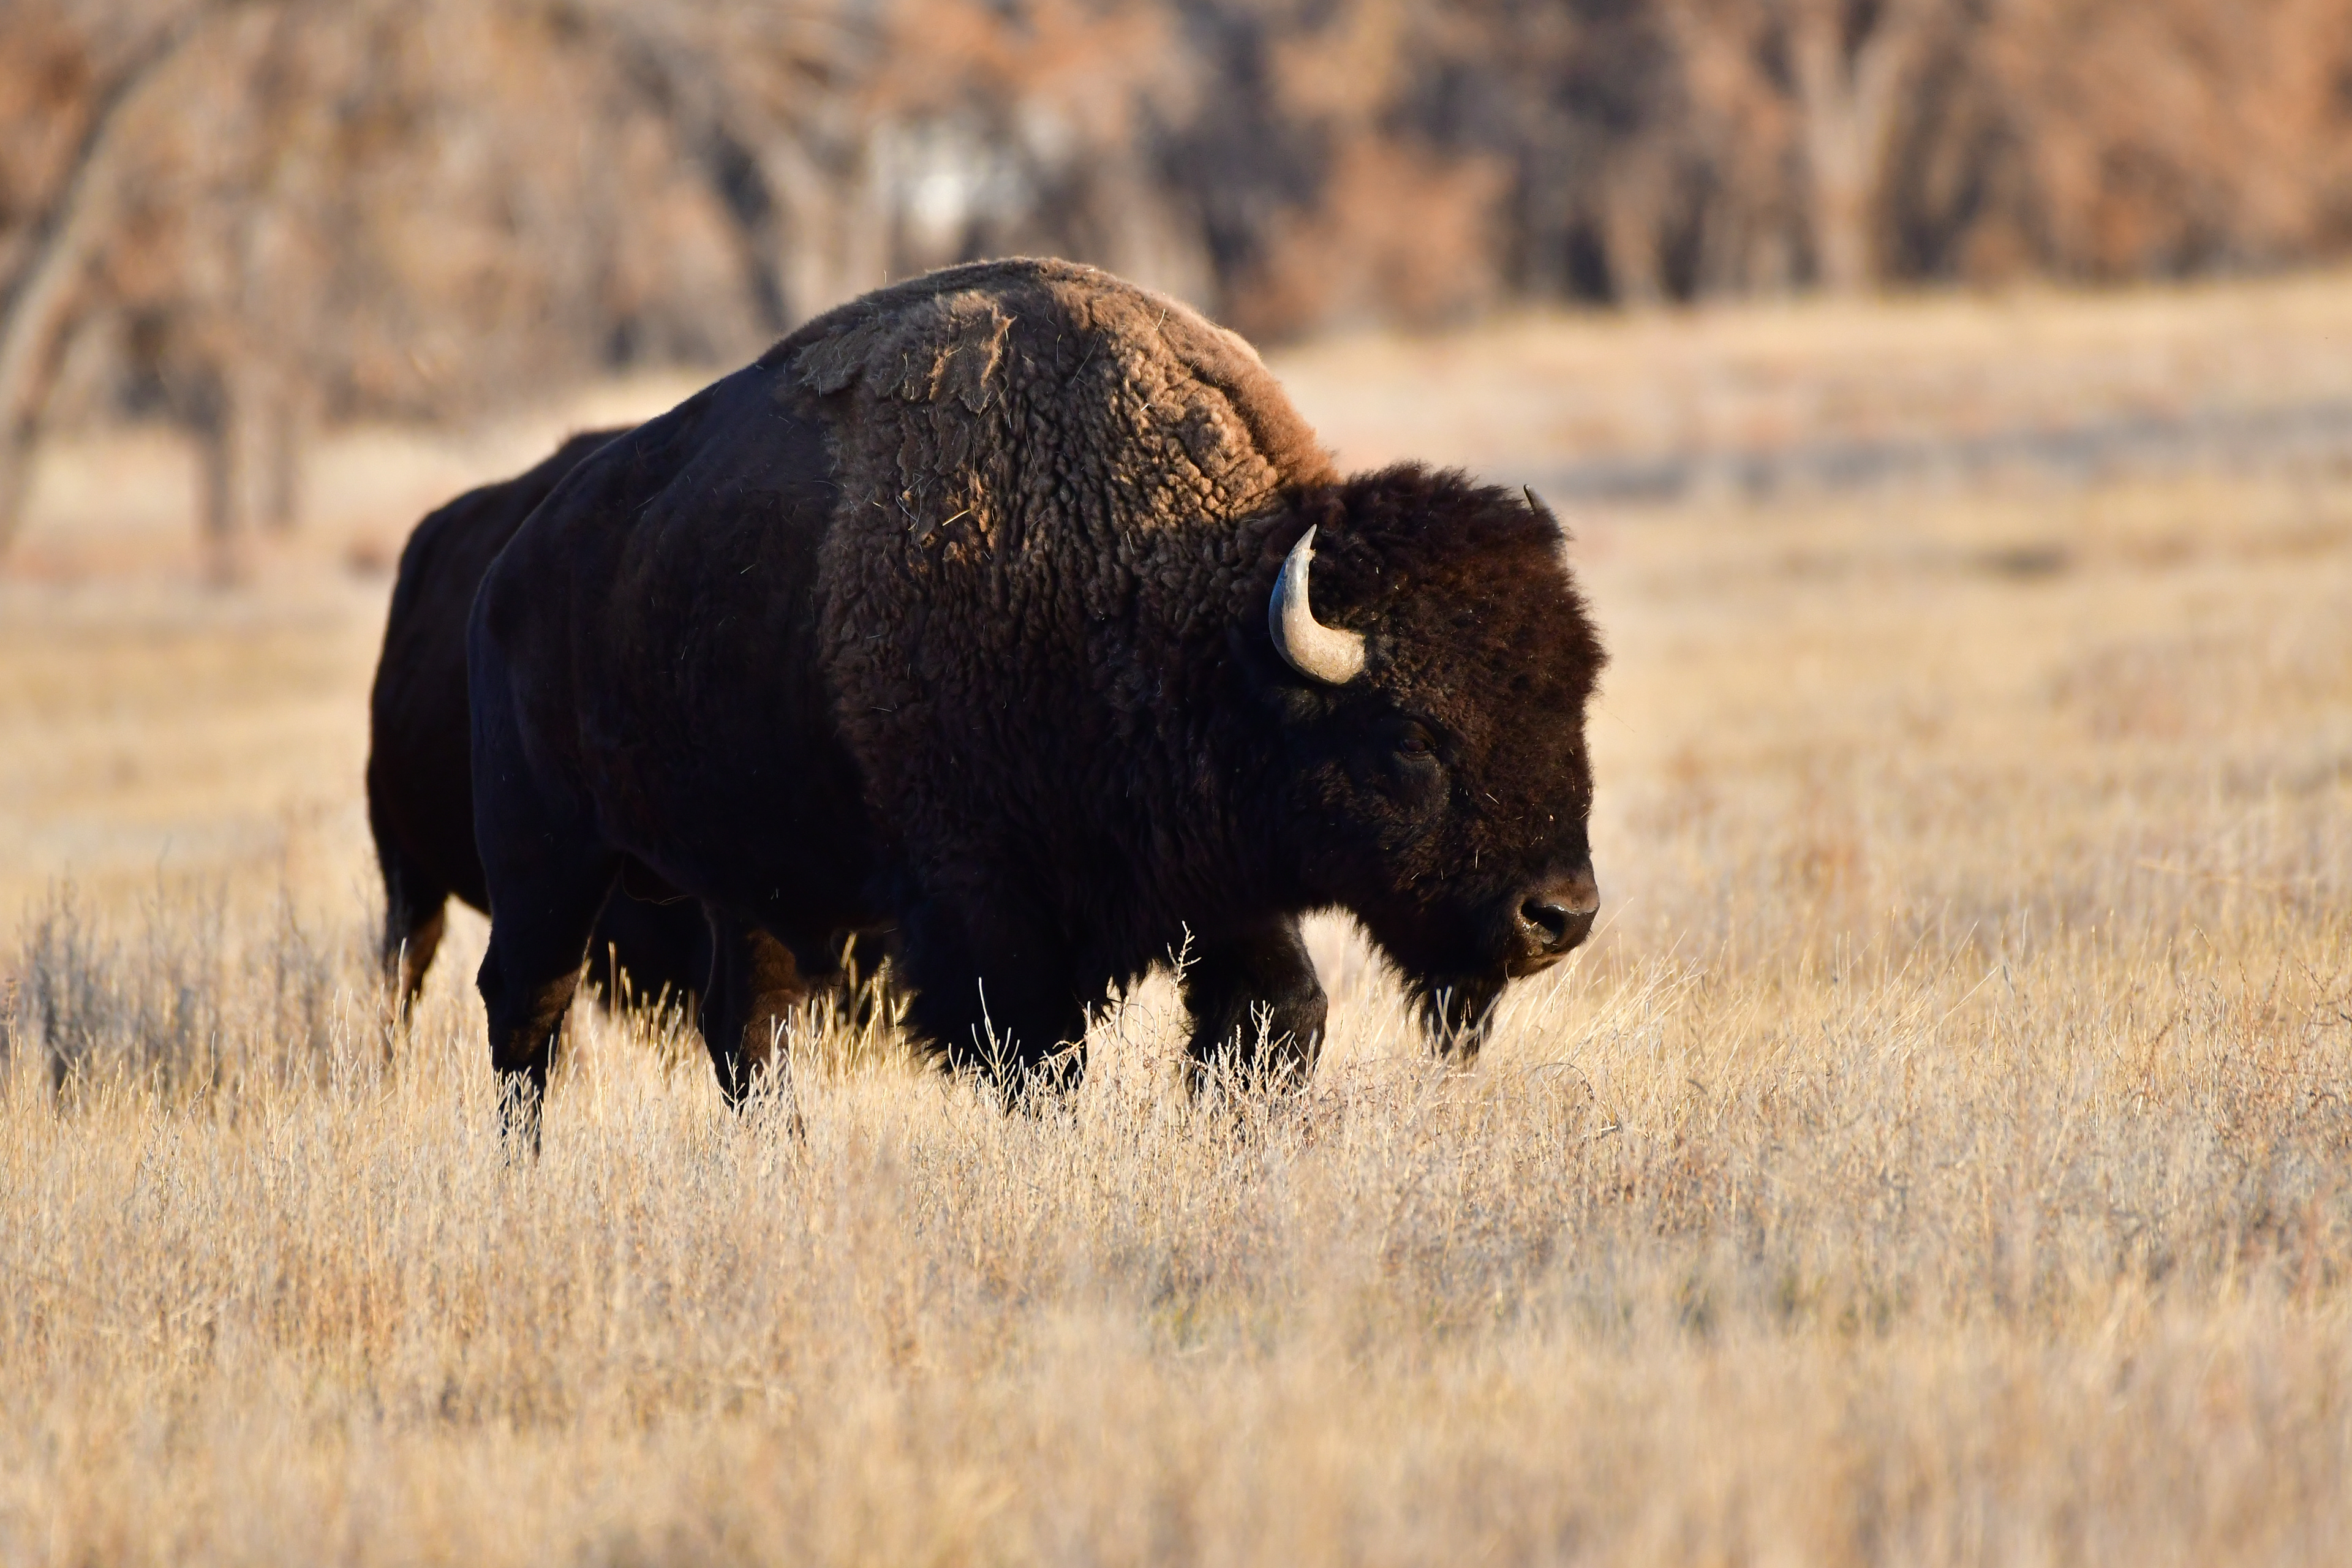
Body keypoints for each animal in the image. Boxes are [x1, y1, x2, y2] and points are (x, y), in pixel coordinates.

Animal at [468, 258, 1605, 1132]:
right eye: (1413, 734)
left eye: (1573, 701)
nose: (1559, 914)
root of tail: (515, 563)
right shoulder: (992, 911)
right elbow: (1041, 1061)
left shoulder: (1224, 885)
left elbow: (1277, 1019)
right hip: (547, 857)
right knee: (527, 1011)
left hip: (746, 880)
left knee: (746, 1027)